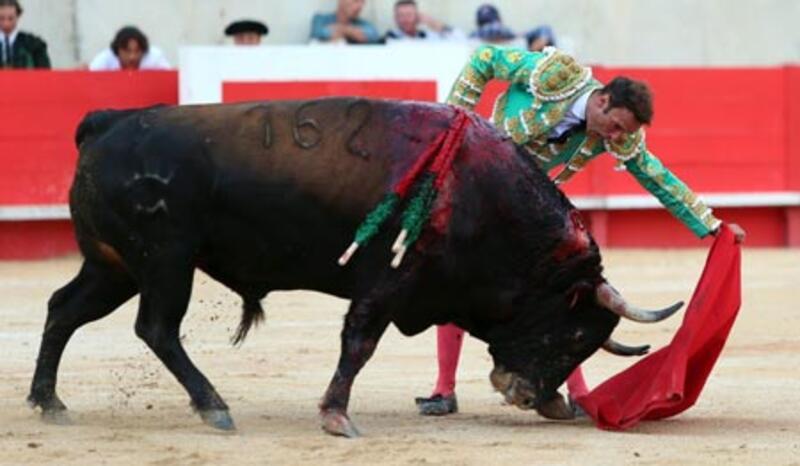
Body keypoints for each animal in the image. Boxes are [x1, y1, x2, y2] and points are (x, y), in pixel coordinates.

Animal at [28, 97, 680, 436]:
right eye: (573, 334)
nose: (527, 394)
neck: (479, 196)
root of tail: (107, 122)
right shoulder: (387, 284)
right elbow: (359, 344)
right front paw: (336, 416)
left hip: (114, 266)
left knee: (64, 310)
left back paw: (48, 401)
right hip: (165, 261)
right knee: (157, 328)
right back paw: (214, 406)